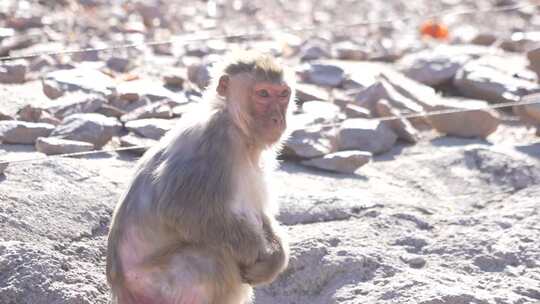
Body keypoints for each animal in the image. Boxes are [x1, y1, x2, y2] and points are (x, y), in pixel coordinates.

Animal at [106, 50, 296, 304]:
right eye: (263, 94)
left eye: (283, 94)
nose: (278, 119)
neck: (233, 122)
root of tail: (121, 291)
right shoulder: (213, 142)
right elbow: (181, 209)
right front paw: (258, 253)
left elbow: (260, 214)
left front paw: (276, 257)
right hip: (156, 285)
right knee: (212, 258)